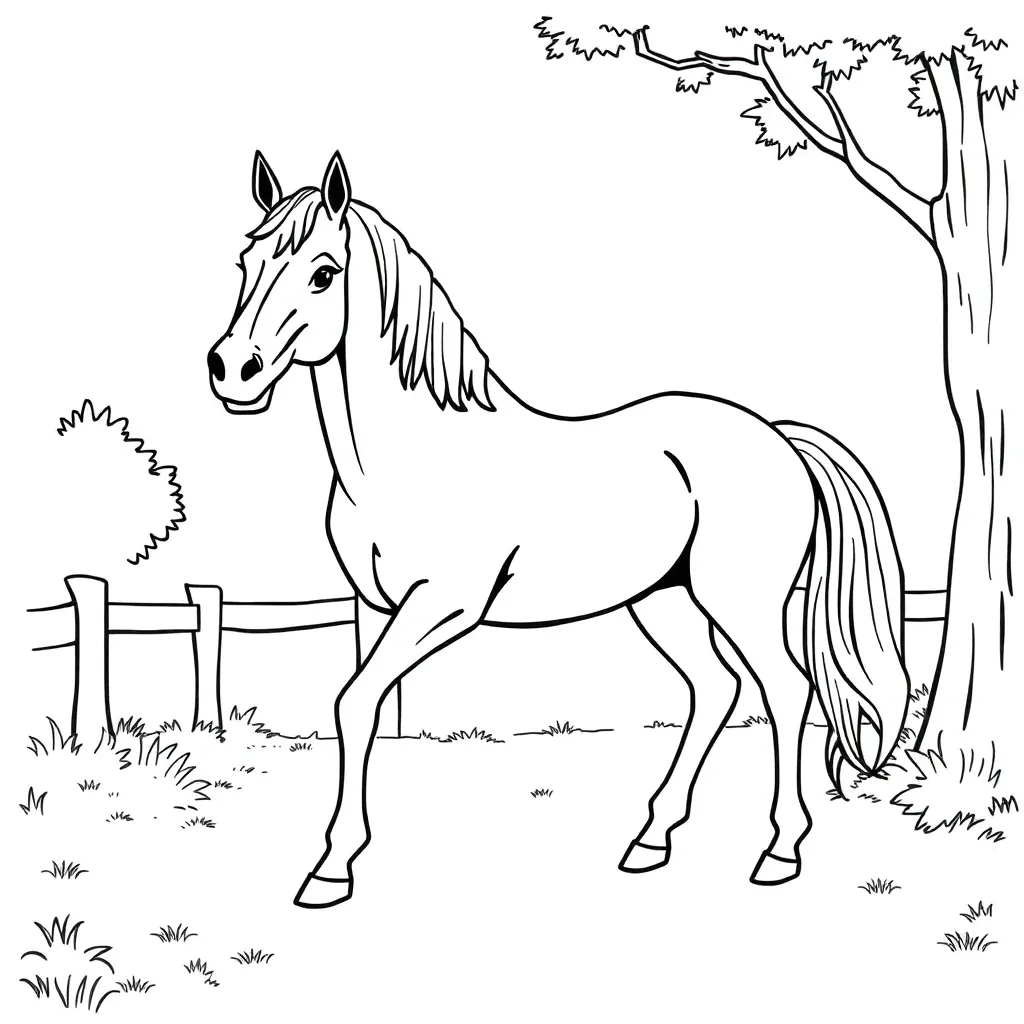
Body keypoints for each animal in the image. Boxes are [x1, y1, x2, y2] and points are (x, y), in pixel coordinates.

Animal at [207, 151, 910, 908]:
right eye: (245, 261)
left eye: (323, 273)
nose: (232, 370)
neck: (413, 456)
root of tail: (778, 438)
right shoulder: (379, 607)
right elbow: (359, 705)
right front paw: (335, 861)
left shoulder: (446, 604)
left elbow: (354, 700)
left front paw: (331, 869)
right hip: (664, 600)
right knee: (715, 688)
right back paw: (650, 840)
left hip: (740, 600)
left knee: (785, 690)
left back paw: (779, 851)